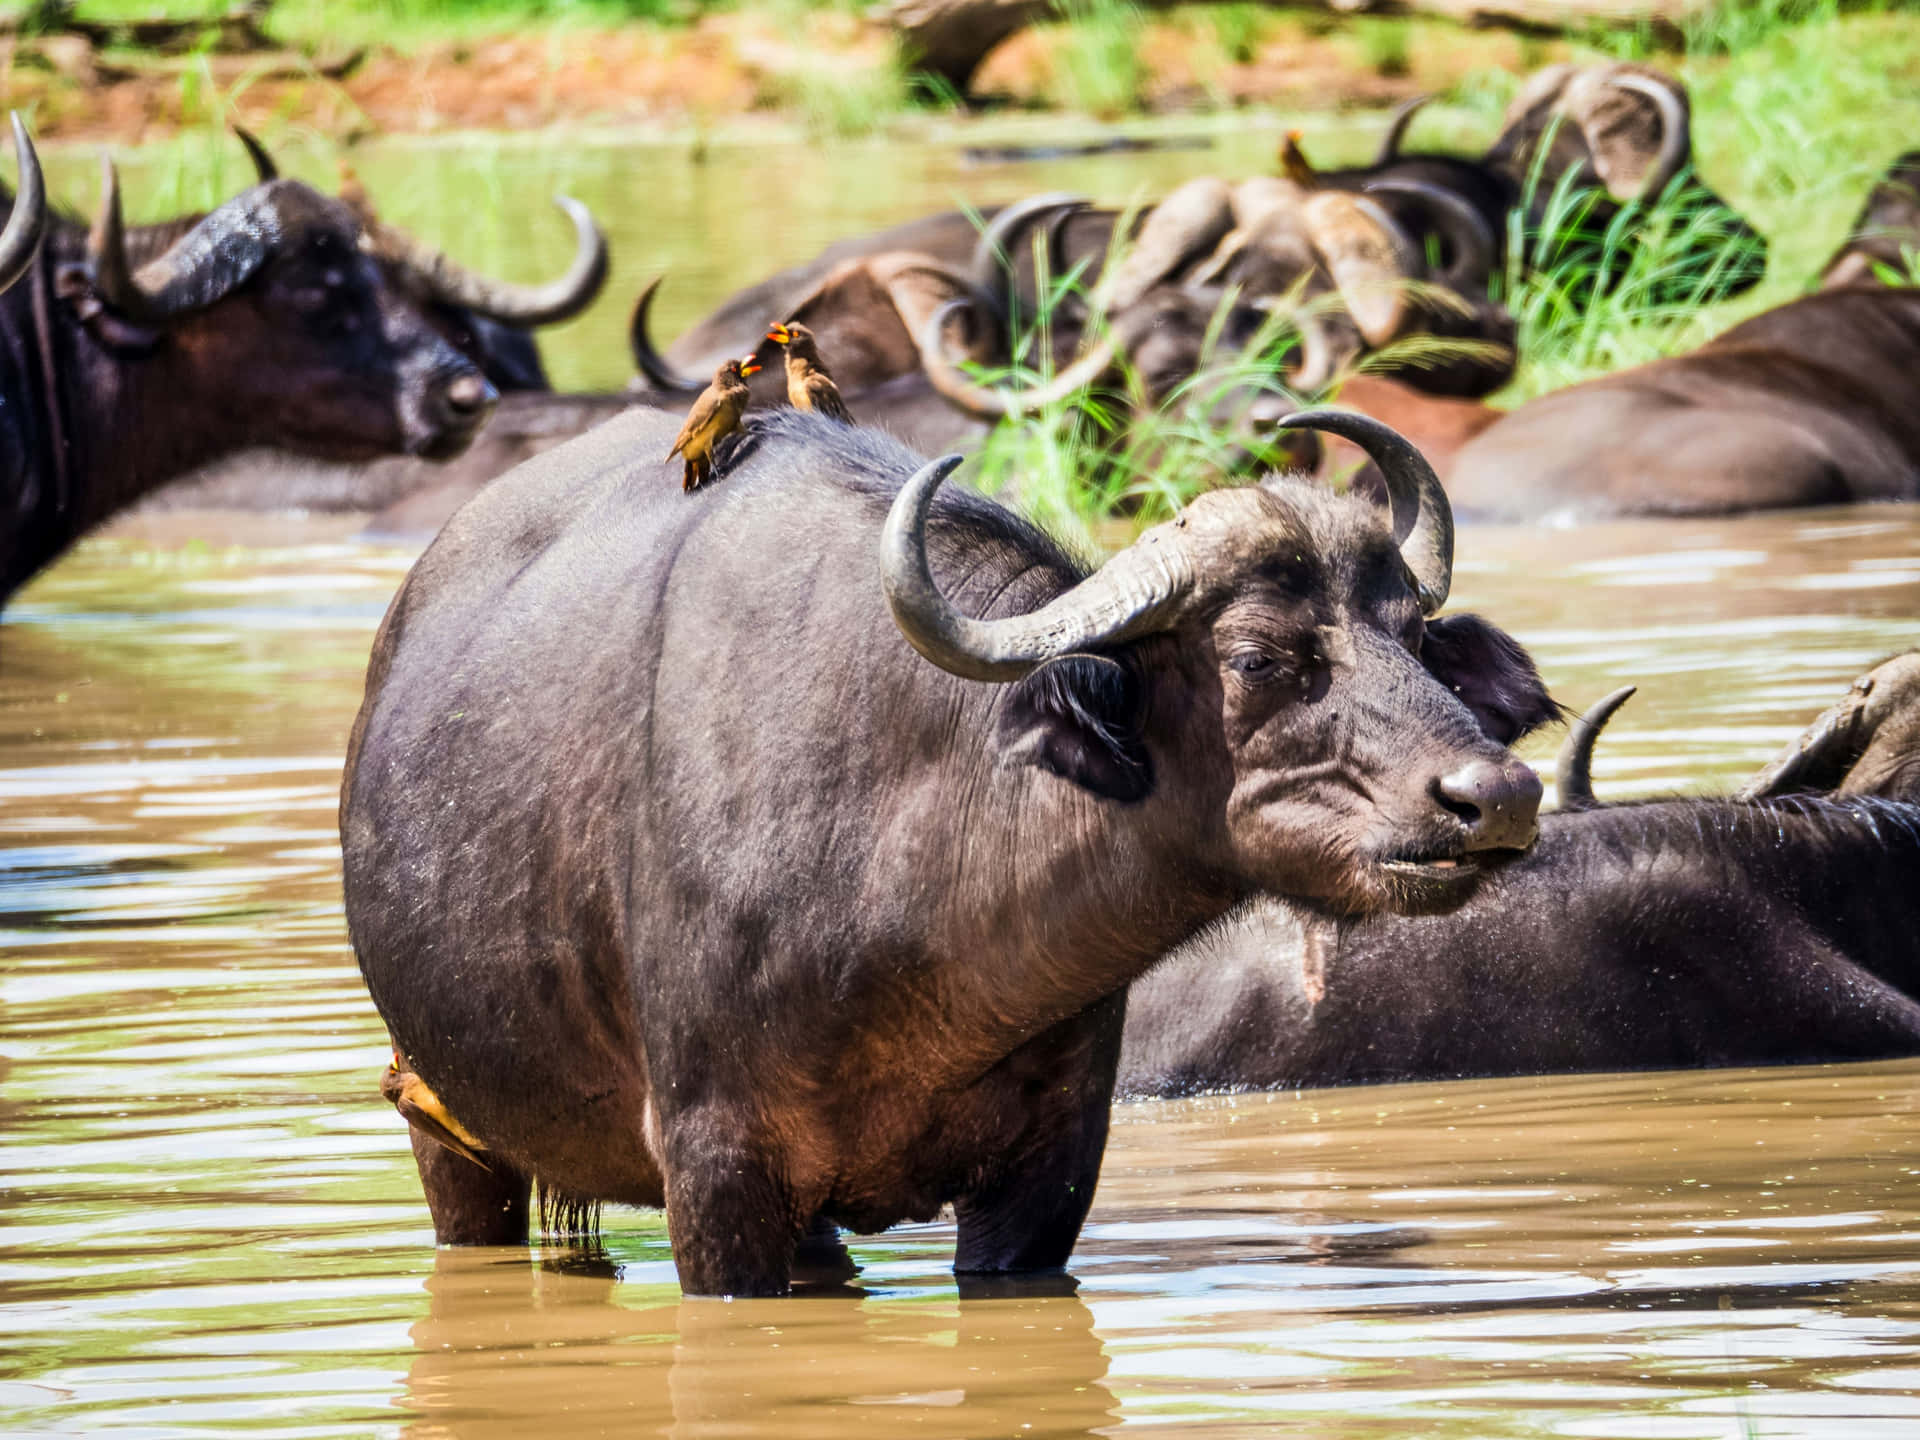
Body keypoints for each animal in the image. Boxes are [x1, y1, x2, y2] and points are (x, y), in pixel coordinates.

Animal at [341, 407, 1543, 1297]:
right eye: (1256, 657)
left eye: (1418, 638)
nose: (1497, 795)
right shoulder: (715, 1169)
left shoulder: (1047, 1176)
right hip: (443, 1124)